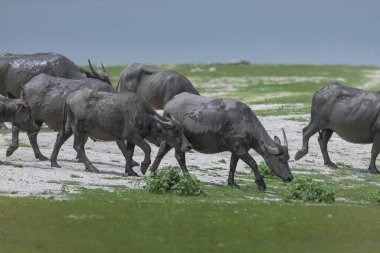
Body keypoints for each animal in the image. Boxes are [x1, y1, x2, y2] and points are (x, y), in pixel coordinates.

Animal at [50, 90, 191, 175]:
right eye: (176, 131)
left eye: (182, 130)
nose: (188, 146)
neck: (144, 116)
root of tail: (70, 96)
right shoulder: (133, 136)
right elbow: (147, 148)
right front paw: (143, 166)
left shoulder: (129, 140)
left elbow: (129, 153)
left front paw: (130, 171)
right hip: (79, 130)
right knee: (78, 146)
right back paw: (92, 168)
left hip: (69, 127)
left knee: (60, 137)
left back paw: (54, 162)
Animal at [147, 94, 292, 191]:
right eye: (280, 159)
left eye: (288, 158)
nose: (290, 177)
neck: (248, 123)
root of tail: (170, 103)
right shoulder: (240, 149)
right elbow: (253, 163)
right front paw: (261, 184)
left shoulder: (236, 151)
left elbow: (233, 165)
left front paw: (232, 183)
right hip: (179, 140)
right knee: (179, 156)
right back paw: (188, 177)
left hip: (170, 137)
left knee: (162, 150)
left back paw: (153, 171)